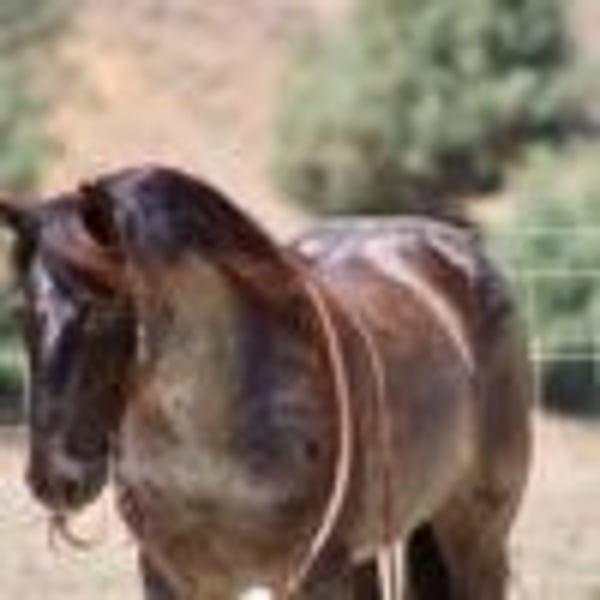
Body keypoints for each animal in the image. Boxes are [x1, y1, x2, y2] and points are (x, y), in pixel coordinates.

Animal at [0, 165, 532, 599]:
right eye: (21, 311)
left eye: (102, 309)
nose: (54, 478)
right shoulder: (173, 578)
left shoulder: (313, 577)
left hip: (476, 537)